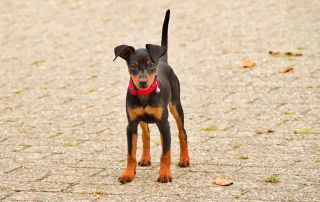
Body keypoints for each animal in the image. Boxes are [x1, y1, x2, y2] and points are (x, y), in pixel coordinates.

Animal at [114, 9, 189, 183]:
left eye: (151, 65)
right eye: (133, 67)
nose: (142, 82)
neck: (144, 95)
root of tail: (164, 61)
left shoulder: (164, 124)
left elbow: (165, 153)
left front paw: (165, 174)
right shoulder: (131, 125)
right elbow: (130, 154)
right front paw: (128, 173)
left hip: (176, 106)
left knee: (182, 133)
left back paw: (184, 159)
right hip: (142, 120)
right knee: (146, 134)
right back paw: (145, 158)